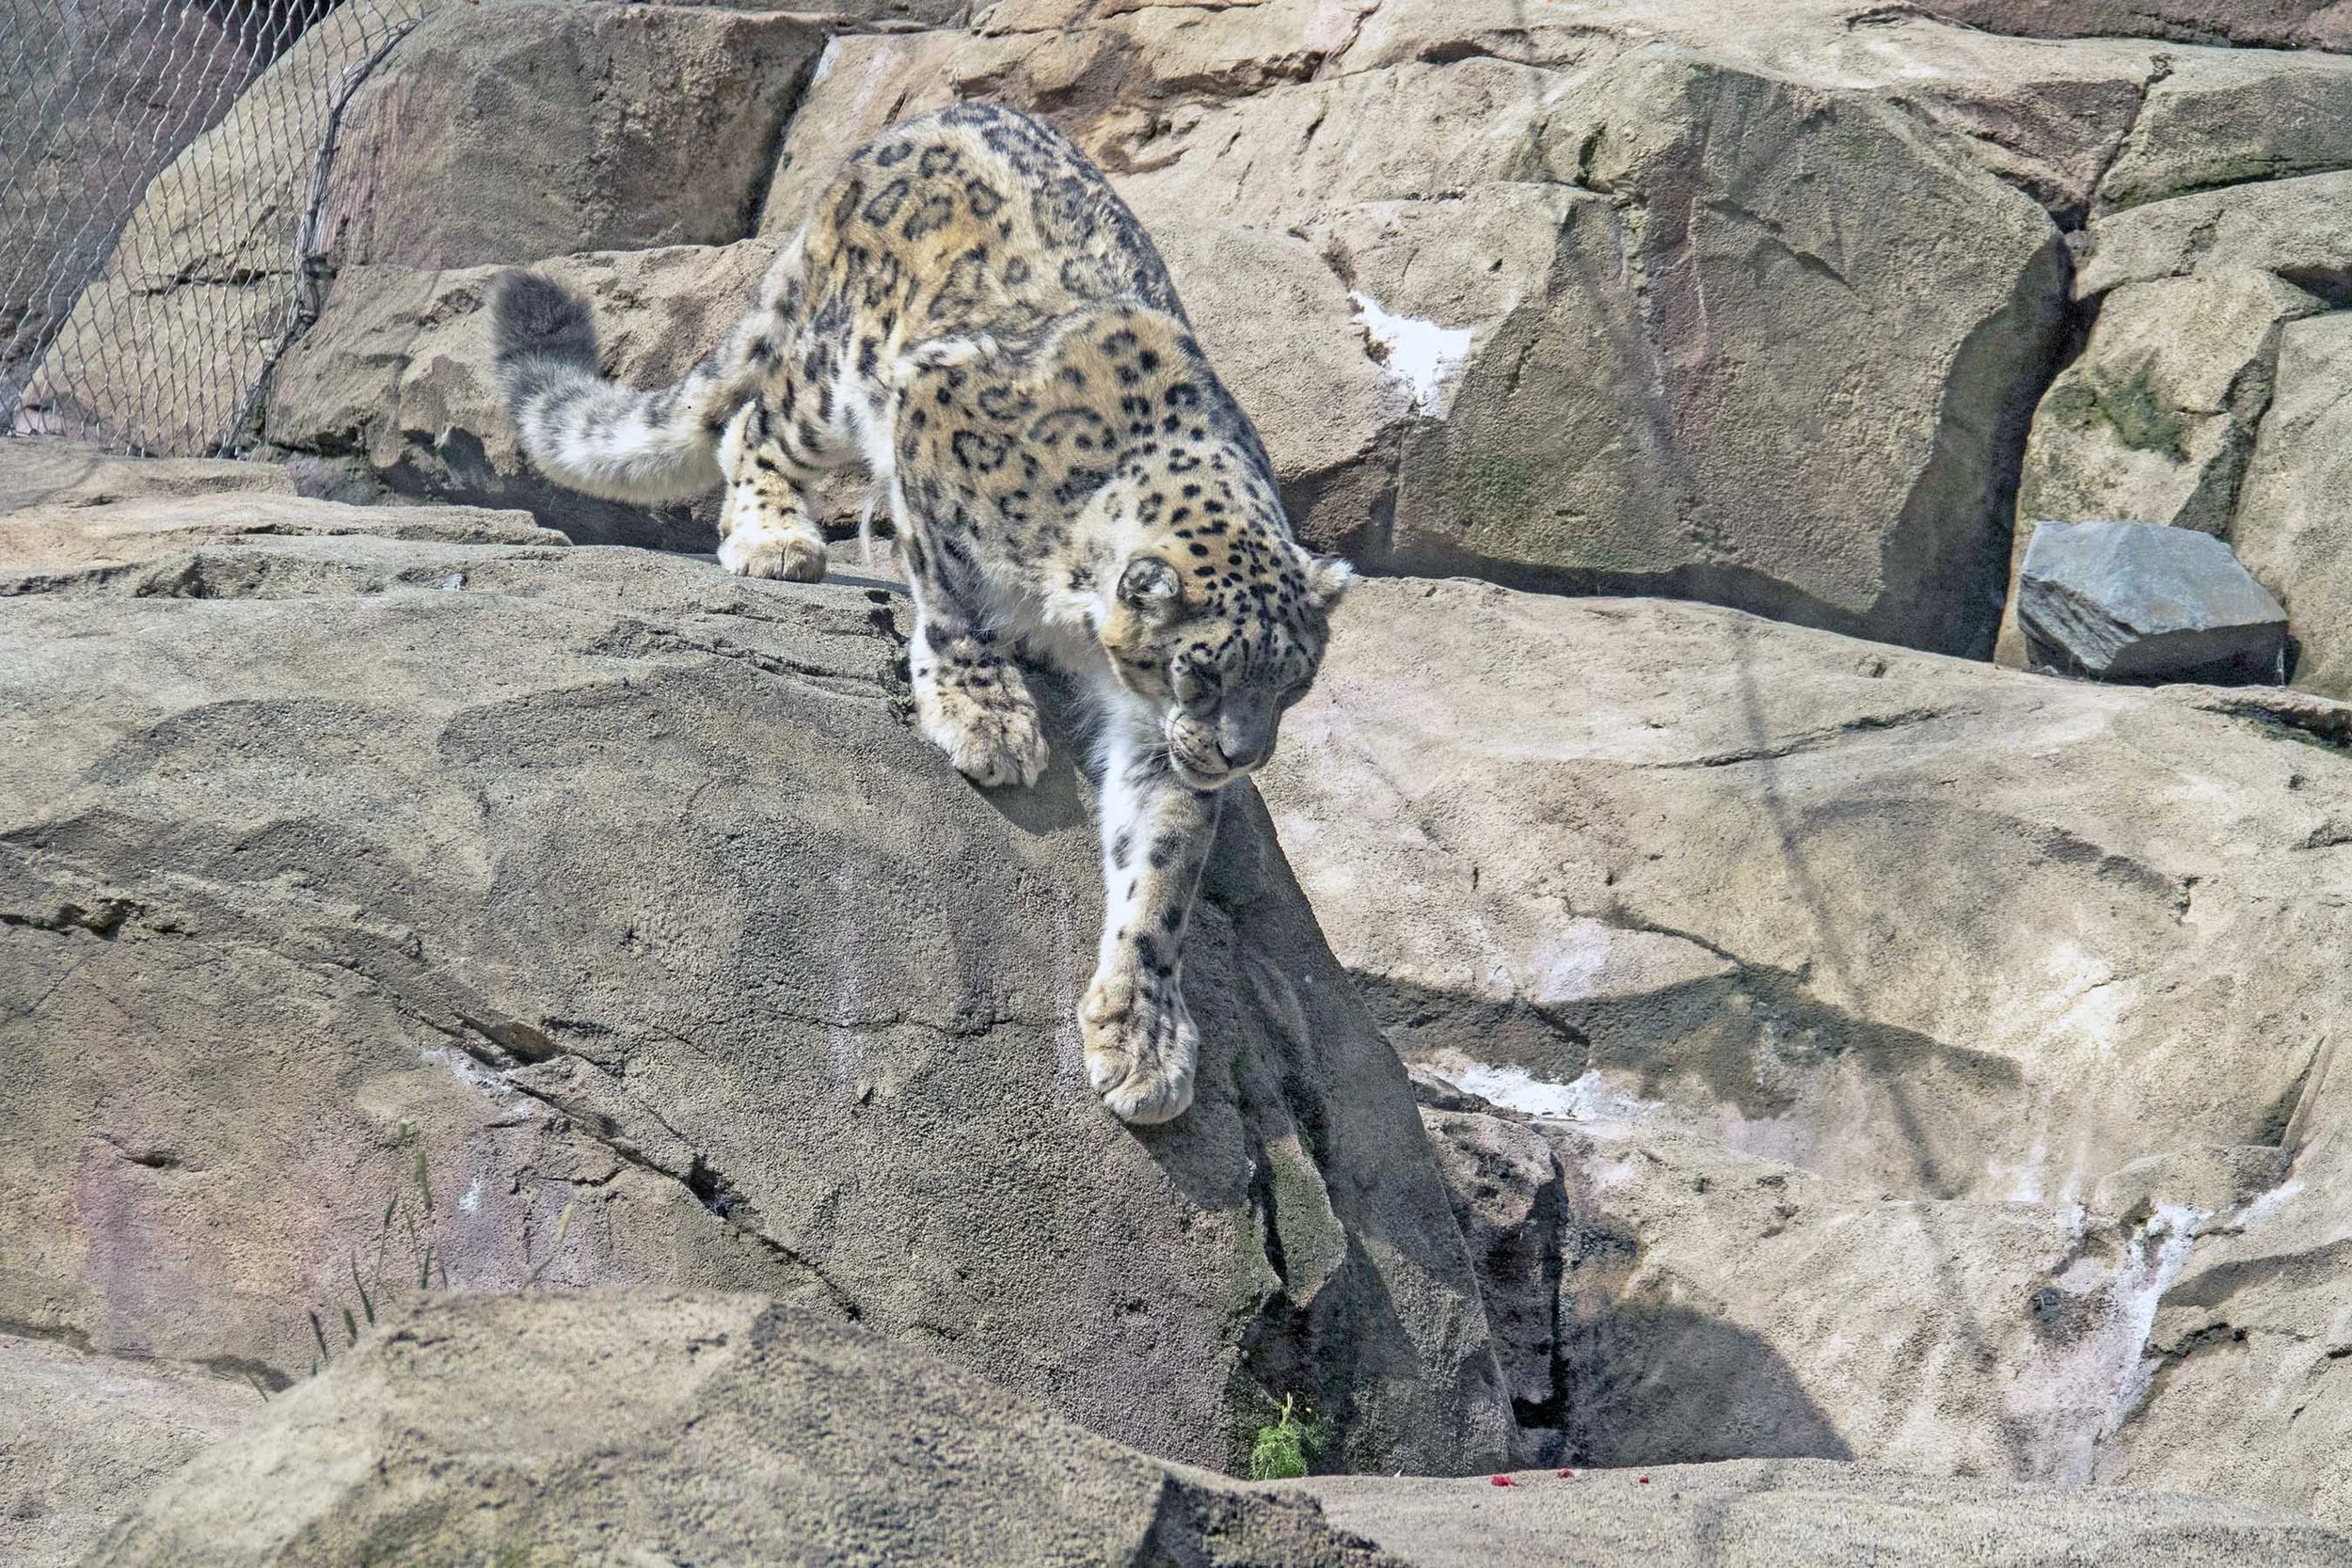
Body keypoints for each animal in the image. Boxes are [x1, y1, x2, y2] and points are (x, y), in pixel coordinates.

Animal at [490, 102, 1352, 1127]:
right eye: (1202, 669)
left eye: (1294, 682)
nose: (1237, 755)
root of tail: (910, 127)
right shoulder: (933, 422)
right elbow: (950, 594)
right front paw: (986, 715)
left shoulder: (1150, 731)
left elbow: (1161, 863)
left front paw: (1141, 1036)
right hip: (834, 372)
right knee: (756, 422)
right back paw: (775, 535)